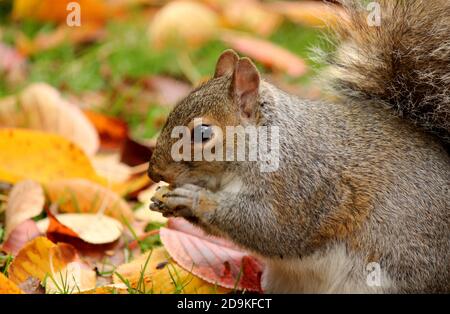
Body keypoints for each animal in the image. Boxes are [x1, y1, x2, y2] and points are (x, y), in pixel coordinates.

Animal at [149, 0, 450, 294]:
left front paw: (195, 199)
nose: (153, 173)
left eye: (203, 133)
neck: (264, 145)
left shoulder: (301, 187)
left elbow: (273, 229)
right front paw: (164, 201)